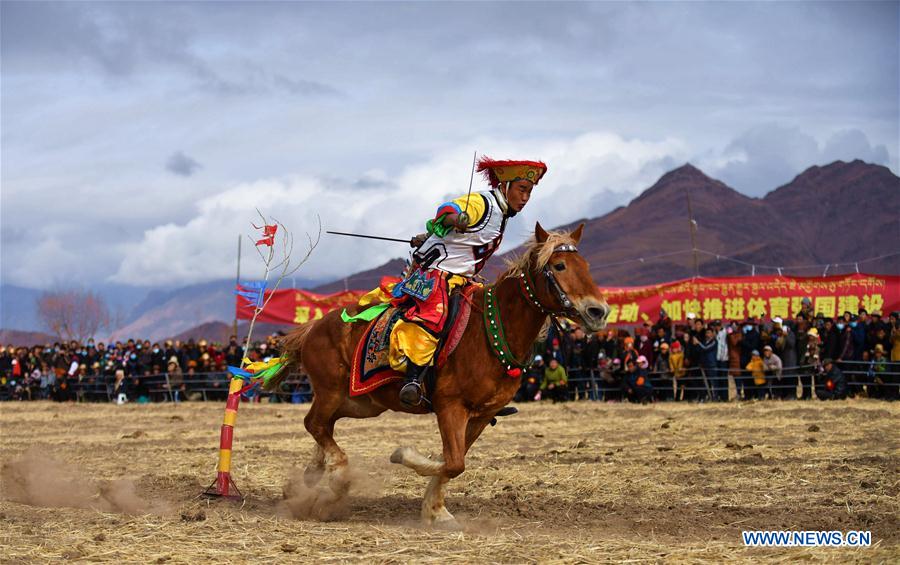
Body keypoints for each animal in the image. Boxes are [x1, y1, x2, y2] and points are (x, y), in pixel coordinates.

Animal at [276, 221, 612, 528]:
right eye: (559, 265)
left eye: (585, 266)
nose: (599, 312)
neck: (491, 330)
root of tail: (313, 327)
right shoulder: (451, 406)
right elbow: (453, 462)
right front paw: (404, 456)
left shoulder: (481, 414)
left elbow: (452, 462)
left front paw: (435, 510)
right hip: (332, 391)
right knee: (315, 423)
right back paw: (336, 477)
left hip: (362, 402)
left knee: (325, 425)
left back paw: (315, 472)